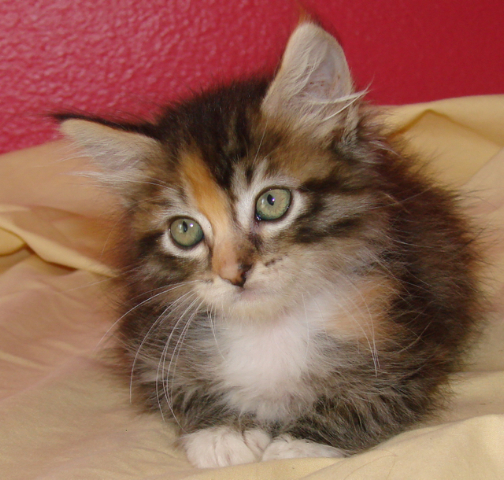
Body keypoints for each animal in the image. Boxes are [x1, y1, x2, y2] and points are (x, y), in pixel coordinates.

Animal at [58, 23, 480, 468]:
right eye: (185, 230)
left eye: (272, 202)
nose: (234, 274)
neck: (271, 325)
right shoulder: (149, 343)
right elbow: (175, 390)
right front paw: (223, 432)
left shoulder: (414, 342)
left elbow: (372, 398)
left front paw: (299, 444)